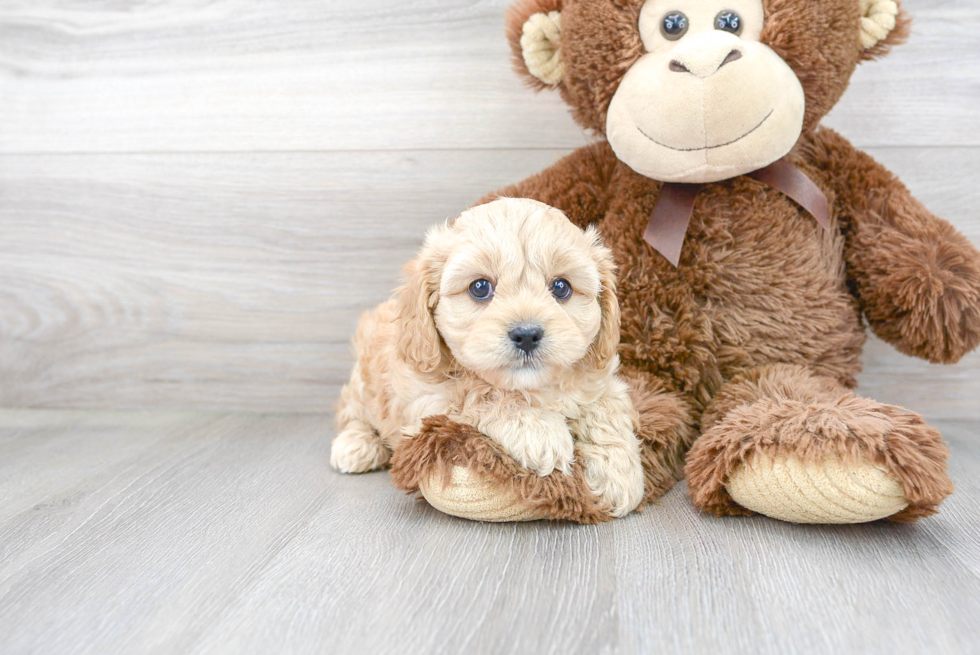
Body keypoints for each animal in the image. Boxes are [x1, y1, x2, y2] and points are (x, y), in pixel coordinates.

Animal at [334, 197, 648, 516]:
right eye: (480, 287)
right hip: (363, 383)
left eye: (561, 287)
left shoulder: (602, 380)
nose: (527, 334)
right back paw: (355, 446)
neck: (531, 387)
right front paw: (538, 431)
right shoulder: (426, 399)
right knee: (351, 412)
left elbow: (606, 410)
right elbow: (480, 395)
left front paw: (619, 475)